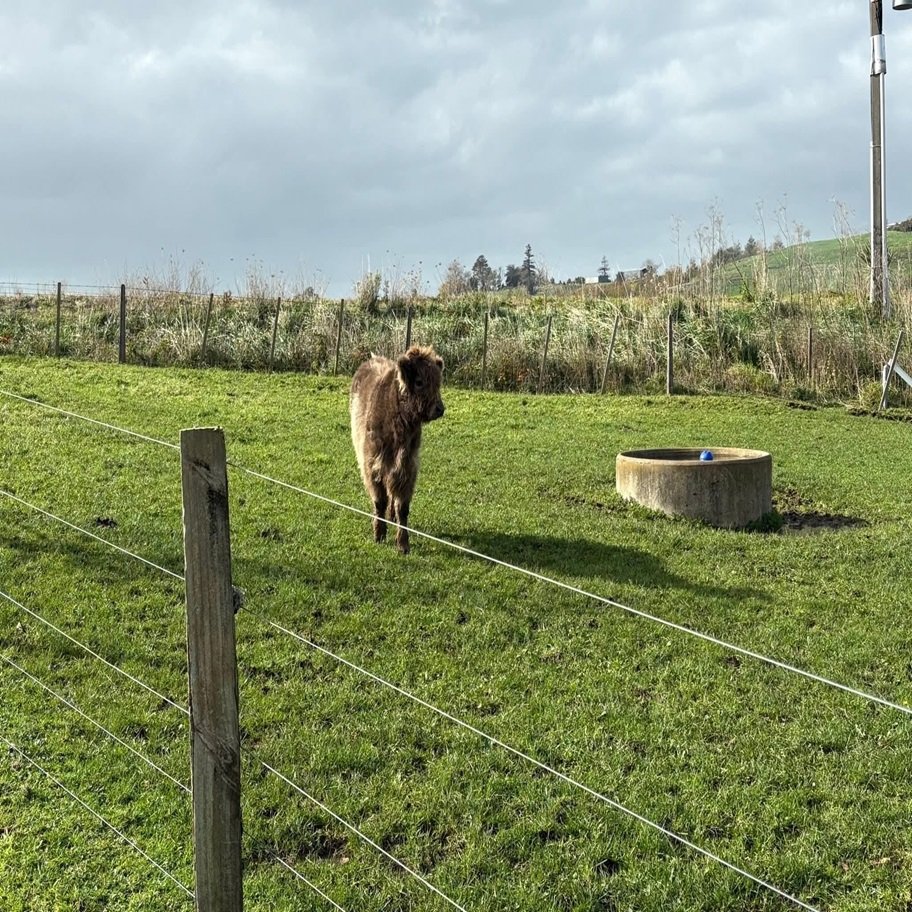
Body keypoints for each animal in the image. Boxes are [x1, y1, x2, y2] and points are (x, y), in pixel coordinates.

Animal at [349, 345, 445, 553]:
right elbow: (379, 501)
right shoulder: (373, 464)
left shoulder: (407, 467)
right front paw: (379, 533)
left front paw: (403, 543)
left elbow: (403, 507)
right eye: (419, 382)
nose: (440, 409)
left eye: (438, 383)